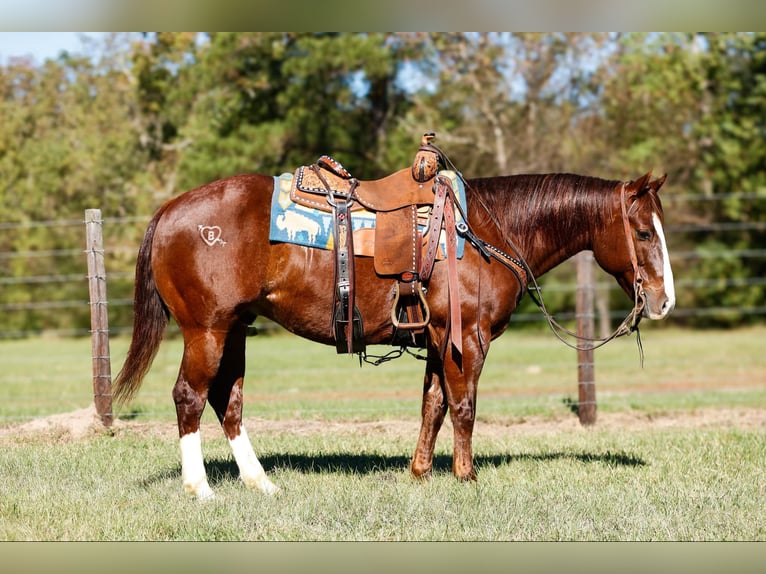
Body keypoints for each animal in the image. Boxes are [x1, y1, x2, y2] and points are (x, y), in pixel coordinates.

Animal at [113, 168, 675, 499]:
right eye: (644, 232)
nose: (664, 299)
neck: (484, 232)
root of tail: (168, 212)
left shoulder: (439, 338)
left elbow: (433, 404)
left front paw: (421, 472)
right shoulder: (467, 338)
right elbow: (463, 405)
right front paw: (466, 476)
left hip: (234, 330)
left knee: (227, 401)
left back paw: (260, 482)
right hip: (205, 330)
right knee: (189, 397)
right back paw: (200, 489)